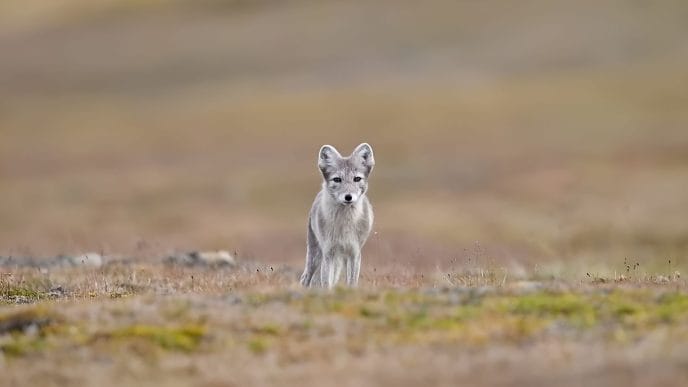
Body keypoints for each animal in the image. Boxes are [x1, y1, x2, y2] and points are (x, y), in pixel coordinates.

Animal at [300, 142, 376, 288]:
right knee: (306, 278)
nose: (348, 197)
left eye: (357, 179)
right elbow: (326, 283)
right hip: (316, 255)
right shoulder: (328, 253)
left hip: (342, 258)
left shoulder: (354, 253)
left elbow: (352, 282)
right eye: (337, 179)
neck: (345, 224)